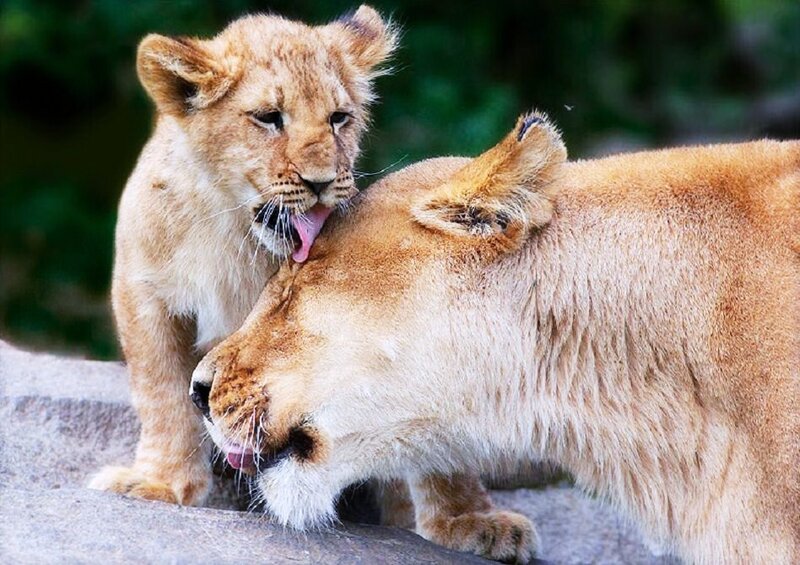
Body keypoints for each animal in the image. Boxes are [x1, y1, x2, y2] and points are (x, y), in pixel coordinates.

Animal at [87, 7, 537, 562]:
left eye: (338, 118)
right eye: (268, 117)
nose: (321, 182)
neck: (236, 239)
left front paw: (467, 520)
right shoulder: (143, 292)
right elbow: (163, 395)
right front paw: (161, 484)